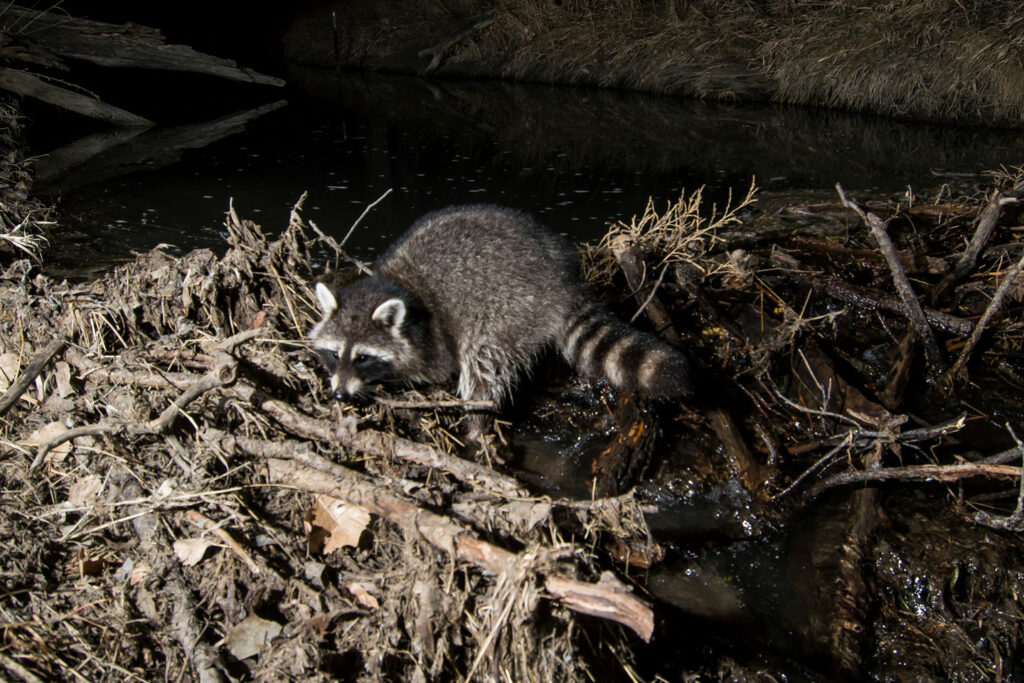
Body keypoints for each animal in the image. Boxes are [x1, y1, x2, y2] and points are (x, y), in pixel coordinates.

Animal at [309, 205, 696, 436]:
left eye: (363, 357)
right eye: (334, 353)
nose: (339, 394)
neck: (397, 285)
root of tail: (562, 283)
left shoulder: (432, 337)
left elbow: (434, 368)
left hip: (506, 307)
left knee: (482, 364)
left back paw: (477, 423)